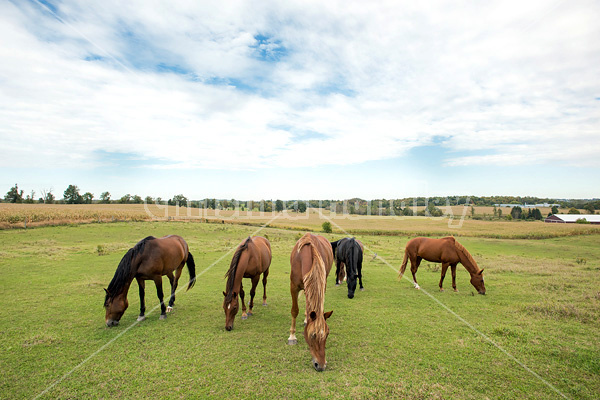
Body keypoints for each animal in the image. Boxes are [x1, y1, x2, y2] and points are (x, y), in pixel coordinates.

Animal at [288, 233, 336, 374]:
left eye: (327, 334)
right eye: (313, 335)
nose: (321, 365)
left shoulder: (322, 284)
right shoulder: (293, 286)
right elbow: (294, 310)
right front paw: (292, 336)